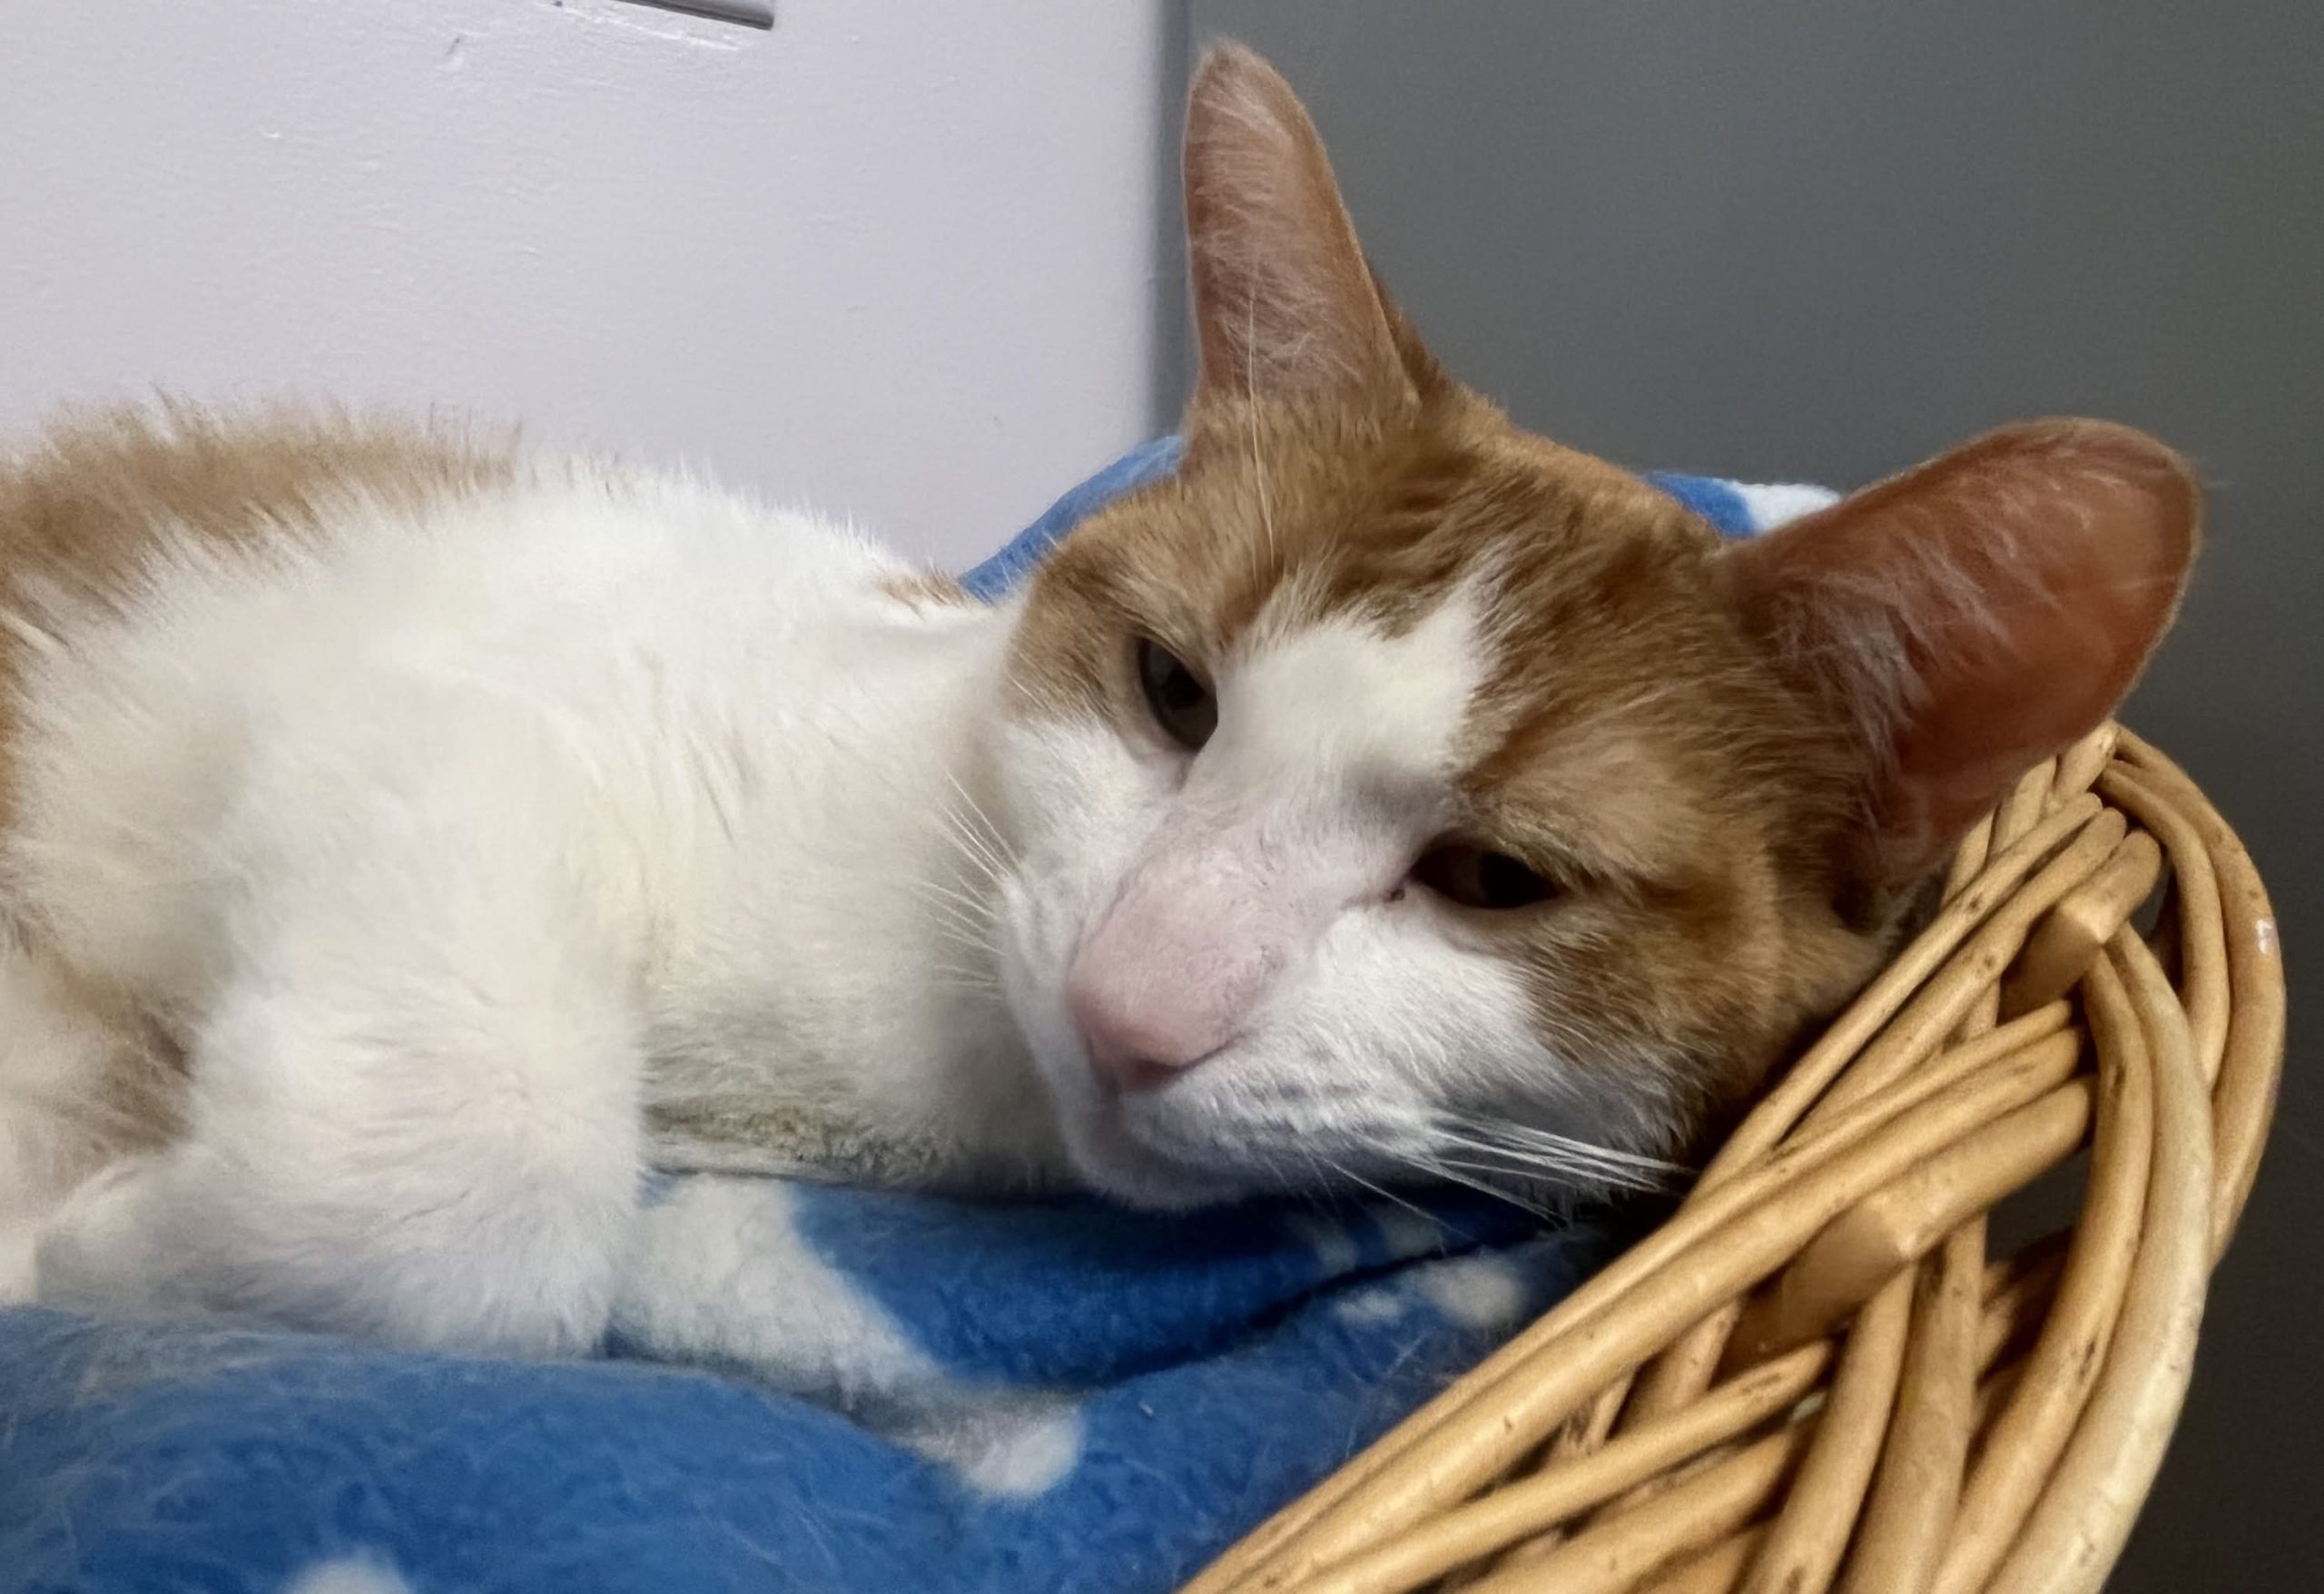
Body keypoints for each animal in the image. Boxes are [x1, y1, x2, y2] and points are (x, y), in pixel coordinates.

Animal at [0, 45, 2196, 1357]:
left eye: (1495, 878)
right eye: (1171, 691)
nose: (1132, 1002)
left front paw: (85, 1231)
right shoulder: (424, 720)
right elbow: (478, 1187)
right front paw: (89, 1247)